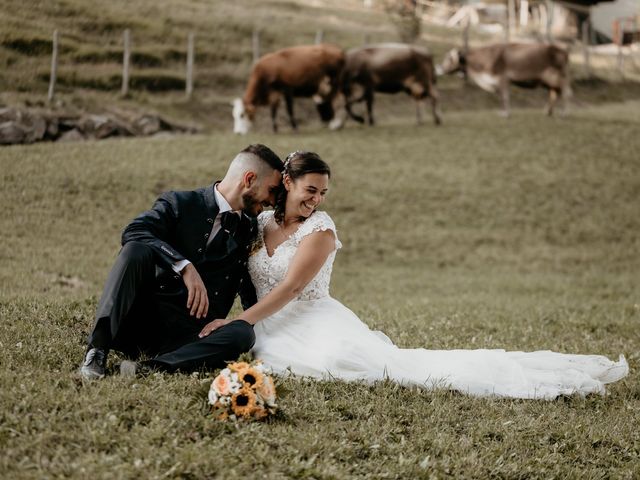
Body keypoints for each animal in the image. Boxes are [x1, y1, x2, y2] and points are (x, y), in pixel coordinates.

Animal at [440, 42, 568, 116]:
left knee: (565, 91)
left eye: (449, 59)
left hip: (557, 77)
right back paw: (548, 112)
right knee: (554, 93)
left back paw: (564, 112)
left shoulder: (503, 78)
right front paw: (503, 111)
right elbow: (501, 97)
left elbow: (504, 96)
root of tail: (563, 50)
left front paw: (505, 113)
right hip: (547, 81)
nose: (439, 68)